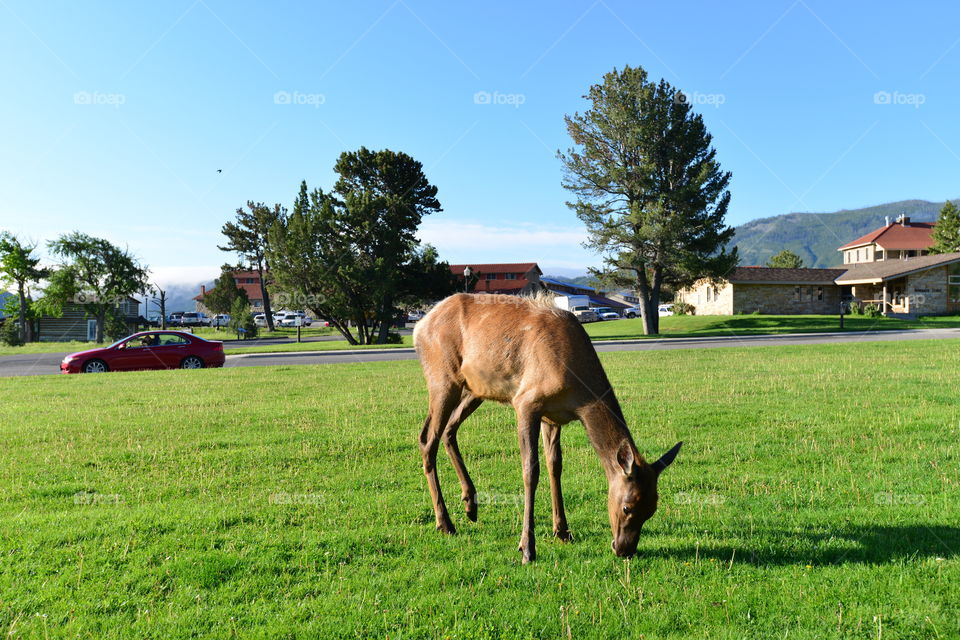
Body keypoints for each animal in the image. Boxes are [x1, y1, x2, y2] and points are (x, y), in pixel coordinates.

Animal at [413, 292, 682, 563]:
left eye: (652, 508)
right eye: (627, 506)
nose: (625, 550)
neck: (579, 393)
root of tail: (419, 326)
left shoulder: (552, 417)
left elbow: (555, 466)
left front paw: (562, 531)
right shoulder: (525, 402)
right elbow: (530, 471)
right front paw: (527, 548)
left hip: (475, 389)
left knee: (449, 430)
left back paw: (470, 504)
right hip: (442, 379)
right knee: (427, 438)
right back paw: (444, 522)